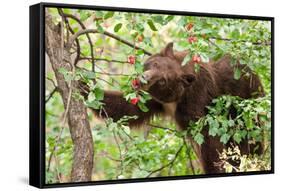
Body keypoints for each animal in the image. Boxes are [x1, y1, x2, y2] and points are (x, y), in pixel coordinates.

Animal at [80, 42, 262, 174]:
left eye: (163, 80)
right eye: (154, 64)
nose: (143, 79)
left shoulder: (198, 96)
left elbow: (208, 136)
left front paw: (215, 167)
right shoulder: (154, 100)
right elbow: (129, 109)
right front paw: (84, 86)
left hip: (246, 108)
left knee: (250, 143)